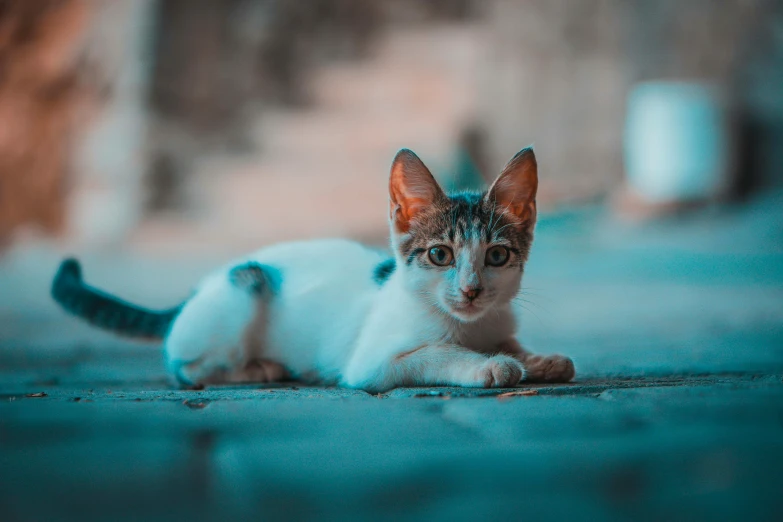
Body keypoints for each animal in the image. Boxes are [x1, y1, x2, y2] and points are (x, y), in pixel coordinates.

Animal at [50, 146, 576, 390]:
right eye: (439, 255)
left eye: (497, 256)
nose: (470, 290)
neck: (467, 324)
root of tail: (201, 286)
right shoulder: (371, 362)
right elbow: (436, 355)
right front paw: (490, 364)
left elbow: (510, 340)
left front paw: (538, 358)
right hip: (244, 289)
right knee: (185, 366)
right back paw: (259, 368)